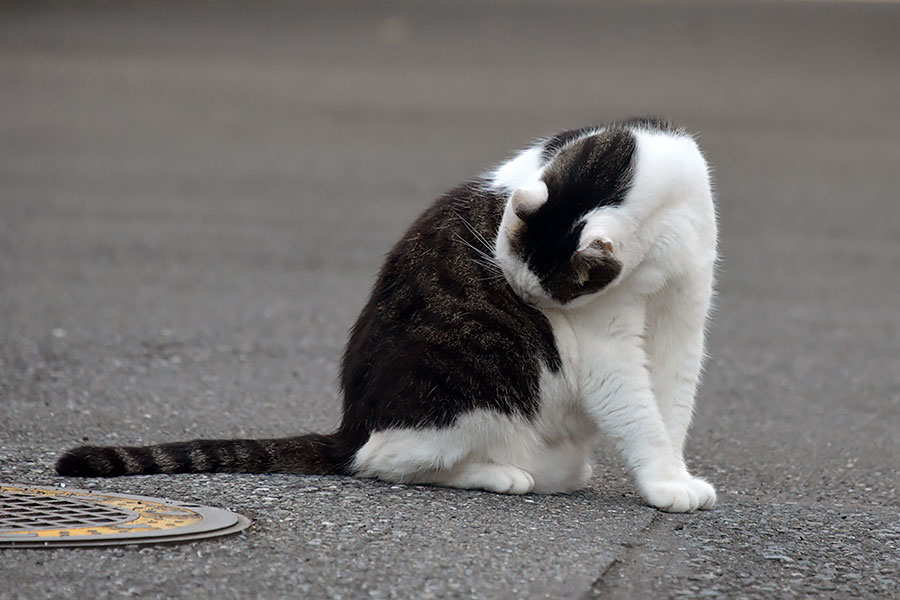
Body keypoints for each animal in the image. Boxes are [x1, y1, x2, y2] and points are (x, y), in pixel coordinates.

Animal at [56, 117, 716, 510]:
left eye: (545, 286)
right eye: (512, 272)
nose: (525, 300)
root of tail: (351, 425)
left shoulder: (685, 309)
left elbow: (674, 402)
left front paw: (675, 474)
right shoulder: (602, 340)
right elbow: (636, 408)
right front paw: (666, 484)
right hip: (474, 397)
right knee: (386, 462)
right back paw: (496, 474)